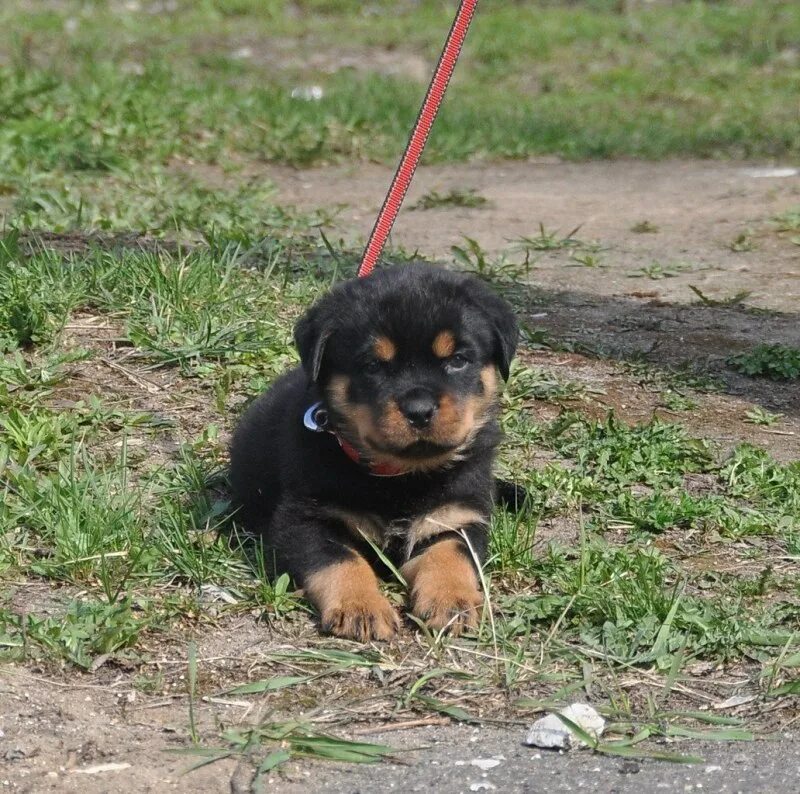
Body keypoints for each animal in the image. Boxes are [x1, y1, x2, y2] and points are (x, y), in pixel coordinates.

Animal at [231, 262, 520, 640]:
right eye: (372, 366)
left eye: (458, 360)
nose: (419, 410)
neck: (402, 477)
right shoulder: (304, 519)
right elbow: (341, 561)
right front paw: (361, 607)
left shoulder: (458, 517)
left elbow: (451, 556)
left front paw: (452, 601)